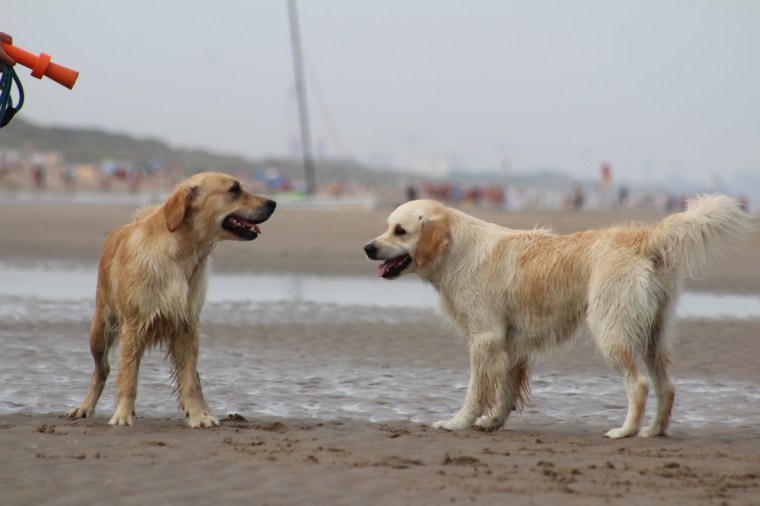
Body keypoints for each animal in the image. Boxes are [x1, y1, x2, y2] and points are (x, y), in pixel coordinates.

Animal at [66, 172, 276, 427]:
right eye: (234, 190)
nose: (273, 203)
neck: (181, 256)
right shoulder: (134, 325)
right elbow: (128, 378)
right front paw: (122, 414)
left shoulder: (188, 325)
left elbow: (188, 381)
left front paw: (197, 415)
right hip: (100, 330)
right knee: (102, 369)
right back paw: (84, 406)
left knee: (194, 376)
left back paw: (205, 411)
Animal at [364, 196, 752, 437]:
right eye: (386, 226)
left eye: (400, 230)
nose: (368, 247)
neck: (459, 251)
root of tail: (643, 237)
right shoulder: (511, 344)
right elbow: (505, 393)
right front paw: (492, 423)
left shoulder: (485, 340)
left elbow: (475, 391)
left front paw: (458, 422)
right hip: (652, 336)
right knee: (666, 387)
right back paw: (654, 431)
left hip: (611, 331)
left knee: (640, 385)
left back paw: (625, 431)